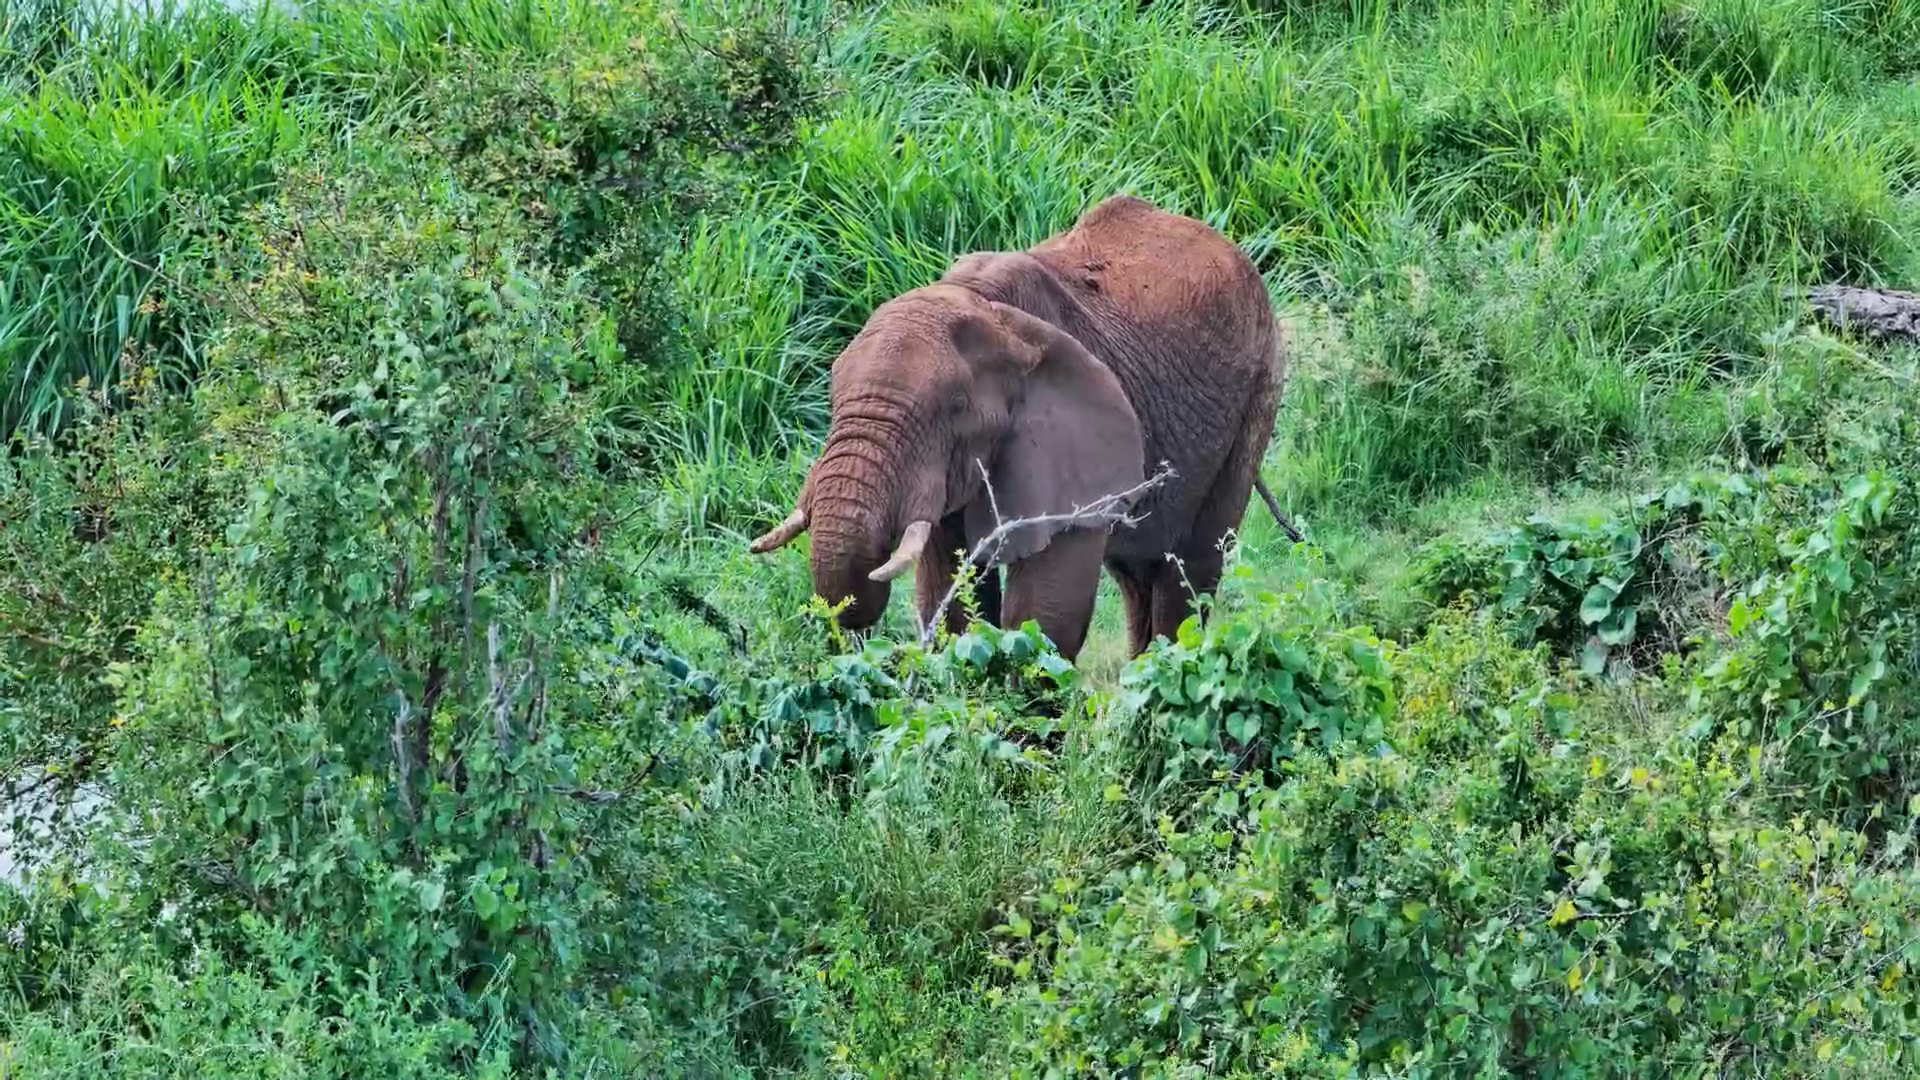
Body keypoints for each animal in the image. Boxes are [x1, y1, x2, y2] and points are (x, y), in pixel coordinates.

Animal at [748, 193, 1291, 663]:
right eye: (833, 396)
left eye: (955, 408)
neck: (983, 307)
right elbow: (952, 600)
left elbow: (1045, 614)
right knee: (1140, 571)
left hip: (1259, 389)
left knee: (1193, 567)